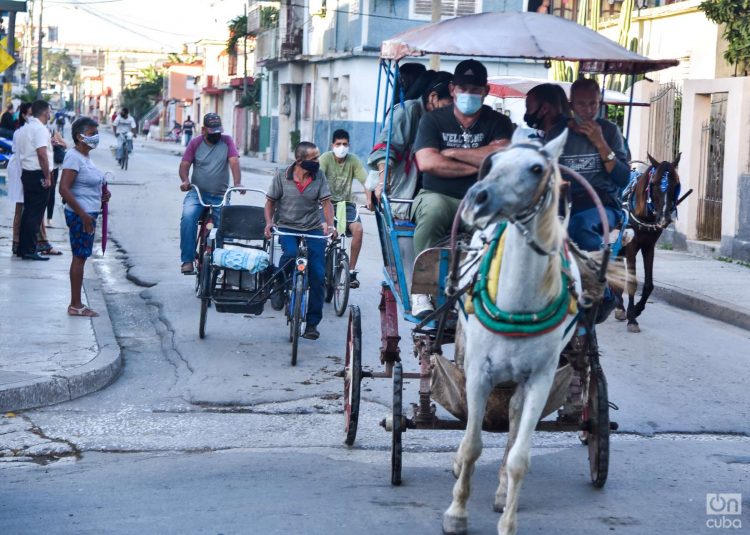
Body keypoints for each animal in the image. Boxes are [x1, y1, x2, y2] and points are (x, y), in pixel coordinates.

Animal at [444, 133, 580, 535]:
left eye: (536, 168)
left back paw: (503, 489)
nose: (476, 198)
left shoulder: (540, 378)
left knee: (515, 415)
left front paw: (507, 518)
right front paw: (457, 512)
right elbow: (472, 445)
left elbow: (520, 454)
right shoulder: (479, 373)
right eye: (492, 162)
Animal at [612, 153, 684, 332]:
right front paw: (632, 318)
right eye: (655, 184)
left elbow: (649, 284)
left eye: (676, 184)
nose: (665, 219)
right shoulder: (631, 247)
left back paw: (619, 306)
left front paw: (637, 310)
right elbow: (632, 281)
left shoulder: (649, 247)